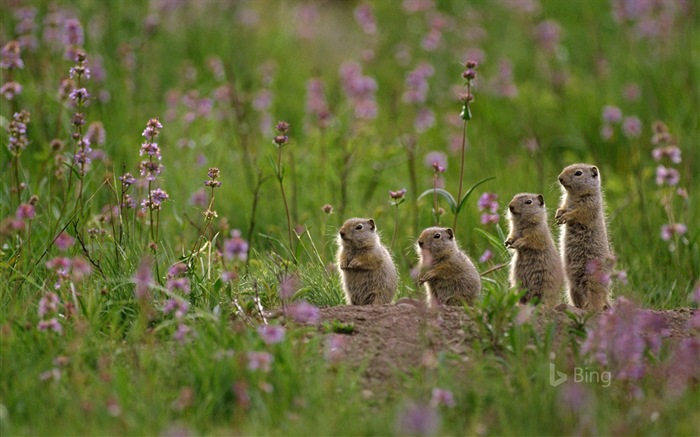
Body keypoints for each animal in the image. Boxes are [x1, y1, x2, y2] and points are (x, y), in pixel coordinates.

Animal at [556, 164, 612, 310]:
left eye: (578, 173)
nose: (560, 178)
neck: (573, 196)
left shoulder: (589, 205)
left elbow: (578, 213)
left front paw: (565, 216)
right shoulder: (566, 202)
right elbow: (563, 207)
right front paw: (558, 214)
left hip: (593, 283)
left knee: (596, 303)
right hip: (572, 289)